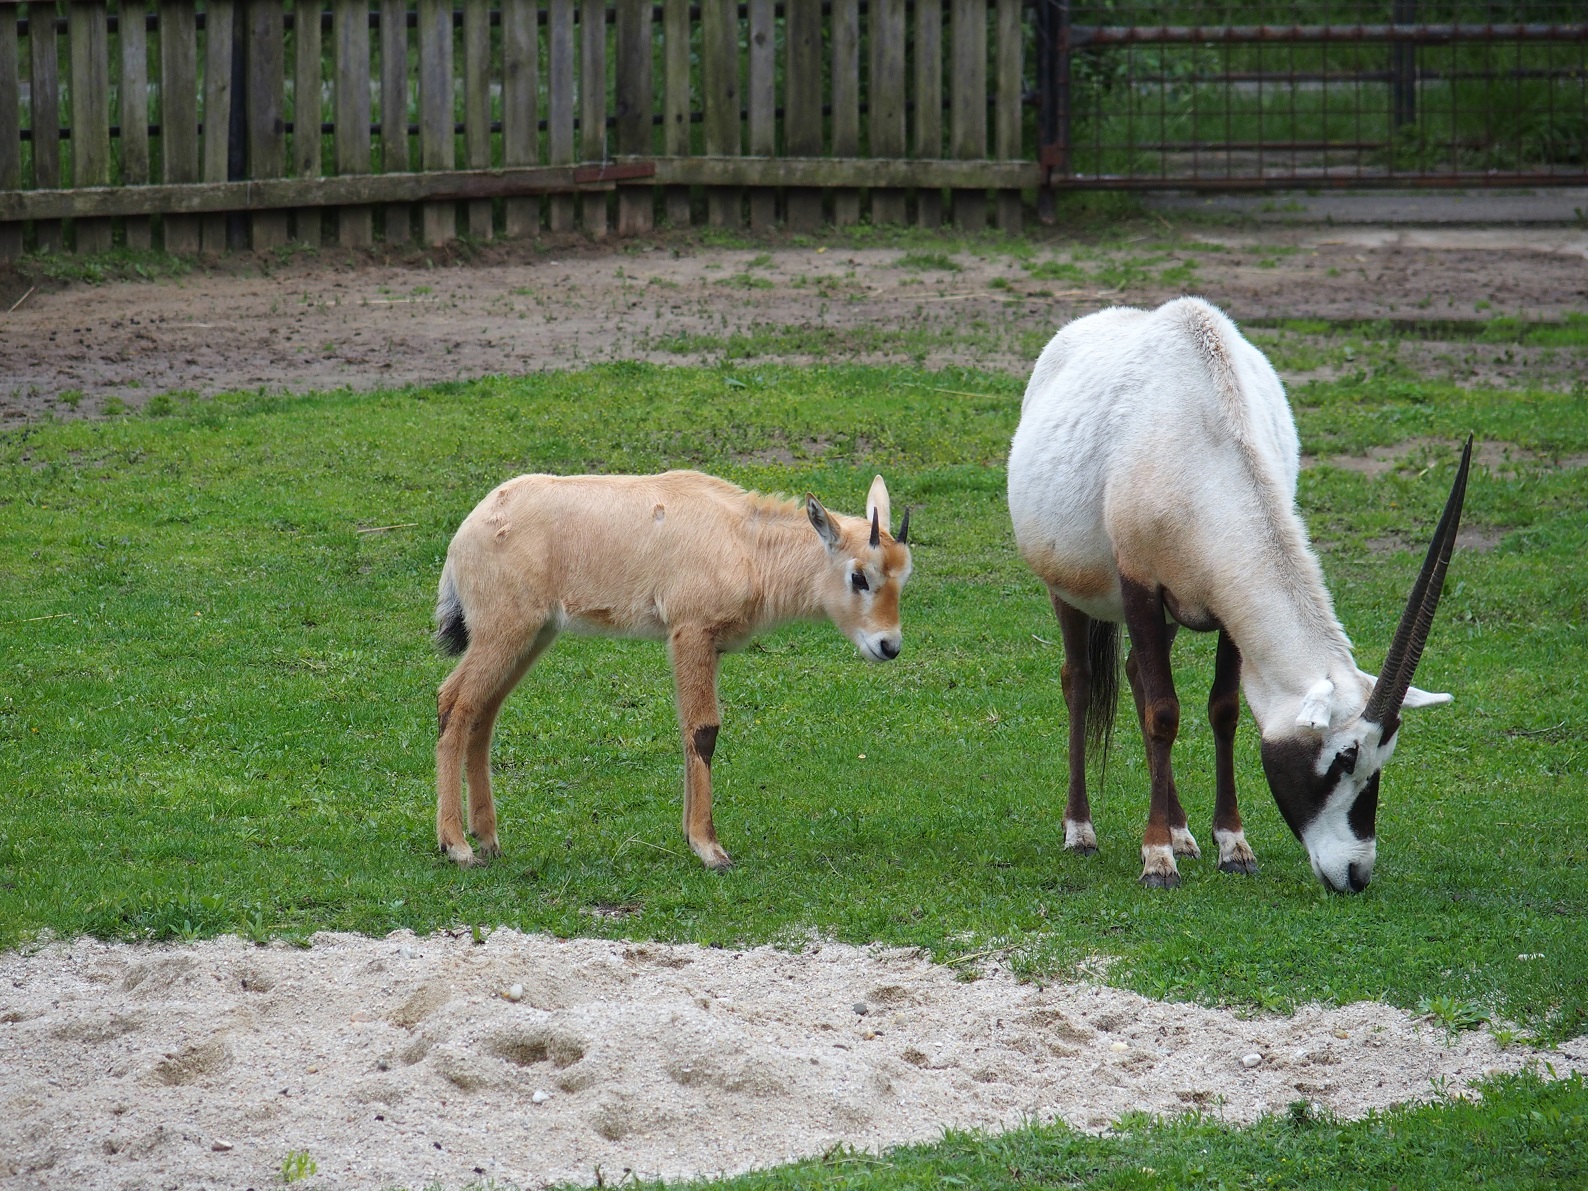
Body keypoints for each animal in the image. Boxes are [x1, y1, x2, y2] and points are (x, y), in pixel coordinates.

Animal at [431, 470, 921, 870]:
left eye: (903, 576)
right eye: (859, 576)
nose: (888, 646)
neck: (745, 542)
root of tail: (468, 531)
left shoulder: (705, 646)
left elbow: (691, 730)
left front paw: (690, 835)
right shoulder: (691, 633)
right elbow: (703, 731)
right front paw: (710, 848)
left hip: (533, 635)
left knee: (483, 712)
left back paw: (488, 839)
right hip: (504, 631)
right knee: (453, 701)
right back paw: (457, 846)